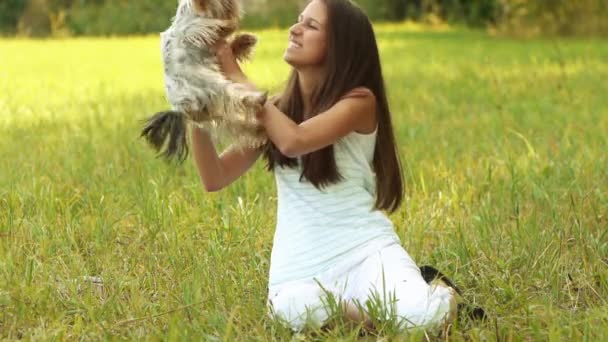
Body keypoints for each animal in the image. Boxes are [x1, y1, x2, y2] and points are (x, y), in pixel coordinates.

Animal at [142, 0, 268, 162]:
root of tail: (180, 110)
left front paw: (244, 40)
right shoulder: (192, 31)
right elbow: (210, 26)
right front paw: (228, 26)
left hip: (215, 108)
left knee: (235, 125)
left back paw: (259, 131)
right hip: (216, 89)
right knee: (237, 101)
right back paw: (257, 101)